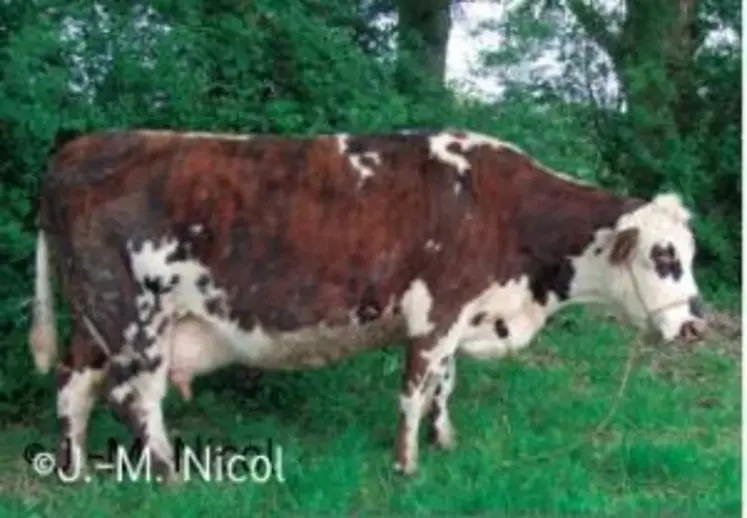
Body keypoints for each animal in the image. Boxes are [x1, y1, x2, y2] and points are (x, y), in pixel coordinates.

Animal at [27, 129, 708, 484]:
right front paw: (407, 466)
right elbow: (414, 389)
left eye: (689, 252)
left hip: (94, 317)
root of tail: (80, 147)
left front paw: (445, 440)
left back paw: (73, 469)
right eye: (664, 257)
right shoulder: (436, 312)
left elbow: (444, 384)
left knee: (73, 385)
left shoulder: (456, 318)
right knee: (134, 397)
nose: (697, 326)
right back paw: (169, 475)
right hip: (133, 318)